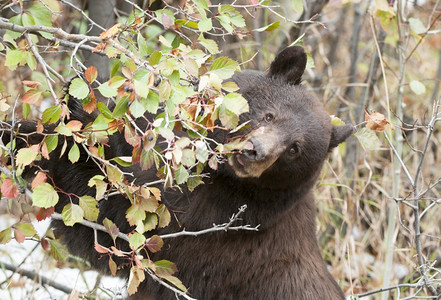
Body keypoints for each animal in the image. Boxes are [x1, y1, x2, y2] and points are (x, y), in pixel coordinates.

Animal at [0, 45, 350, 298]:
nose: (255, 152)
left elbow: (111, 223)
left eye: (294, 149)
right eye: (269, 115)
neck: (224, 178)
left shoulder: (206, 223)